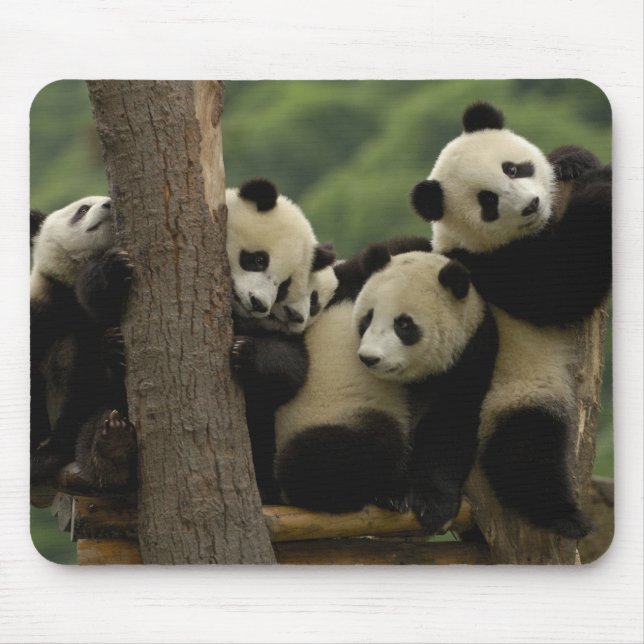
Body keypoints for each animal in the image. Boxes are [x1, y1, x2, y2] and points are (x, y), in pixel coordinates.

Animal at [410, 101, 612, 537]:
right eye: (487, 201)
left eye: (513, 168)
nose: (530, 205)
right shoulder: (488, 266)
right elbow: (559, 286)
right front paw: (603, 184)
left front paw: (573, 161)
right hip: (511, 392)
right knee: (524, 450)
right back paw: (565, 516)